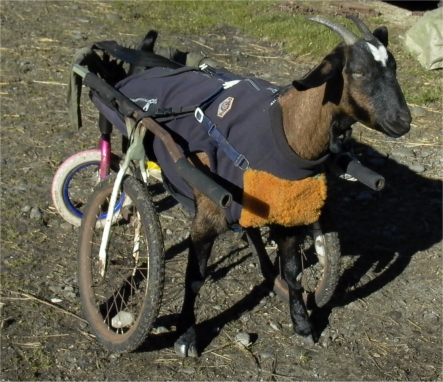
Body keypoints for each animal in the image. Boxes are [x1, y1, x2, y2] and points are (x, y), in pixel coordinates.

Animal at [108, 14, 412, 356]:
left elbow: (292, 273)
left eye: (394, 67)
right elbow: (195, 278)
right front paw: (185, 336)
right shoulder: (207, 217)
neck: (286, 129)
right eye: (359, 72)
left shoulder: (289, 215)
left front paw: (303, 325)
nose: (403, 121)